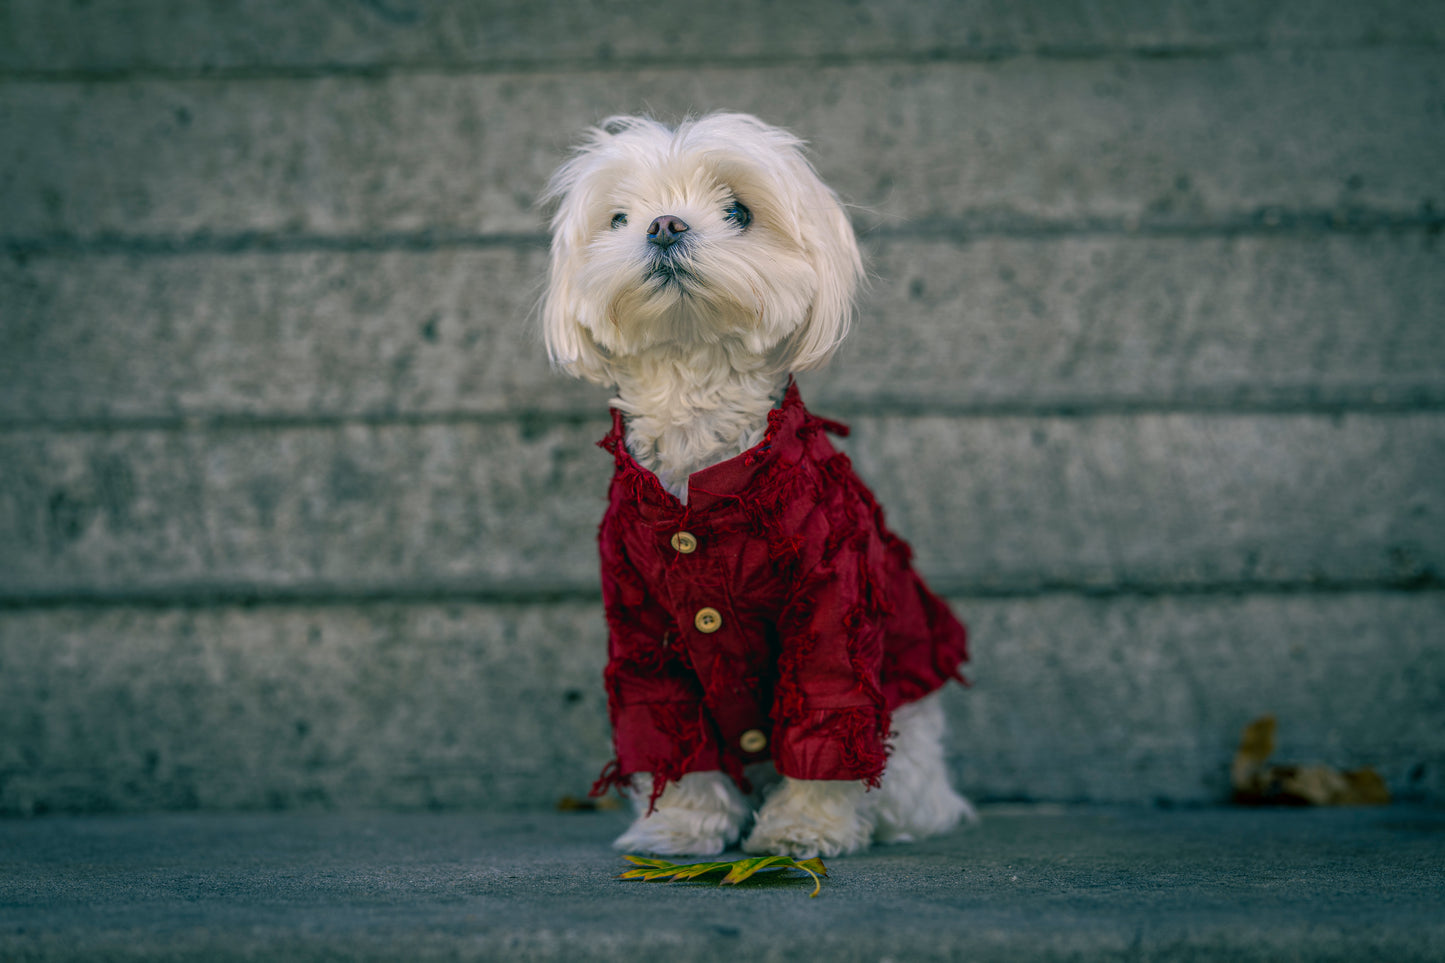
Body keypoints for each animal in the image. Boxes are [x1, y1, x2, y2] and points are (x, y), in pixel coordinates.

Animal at [540, 112, 971, 856]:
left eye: (739, 211)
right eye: (619, 217)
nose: (663, 225)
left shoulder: (833, 602)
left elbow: (827, 707)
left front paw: (805, 826)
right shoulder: (642, 624)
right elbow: (666, 721)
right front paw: (681, 825)